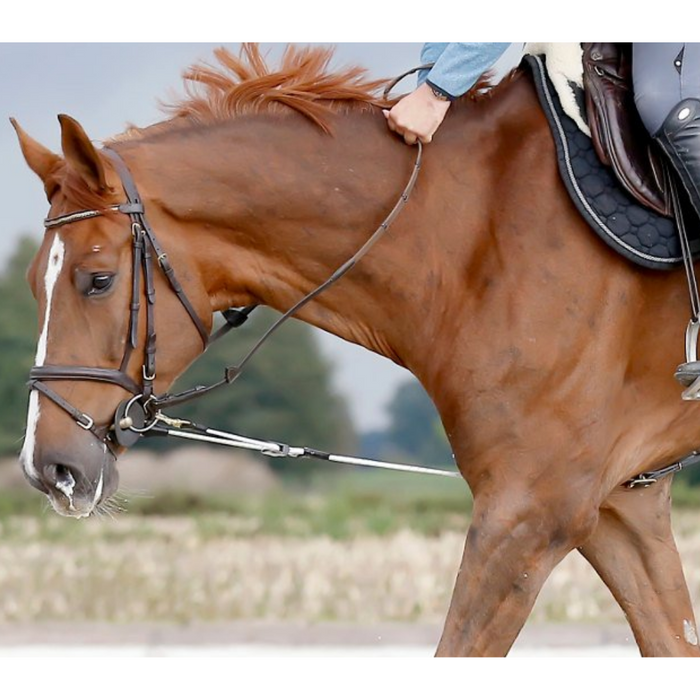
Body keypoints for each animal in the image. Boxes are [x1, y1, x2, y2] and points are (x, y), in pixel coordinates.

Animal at [11, 44, 700, 656]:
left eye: (98, 281)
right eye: (31, 284)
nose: (48, 469)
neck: (476, 231)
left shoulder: (529, 510)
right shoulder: (621, 507)